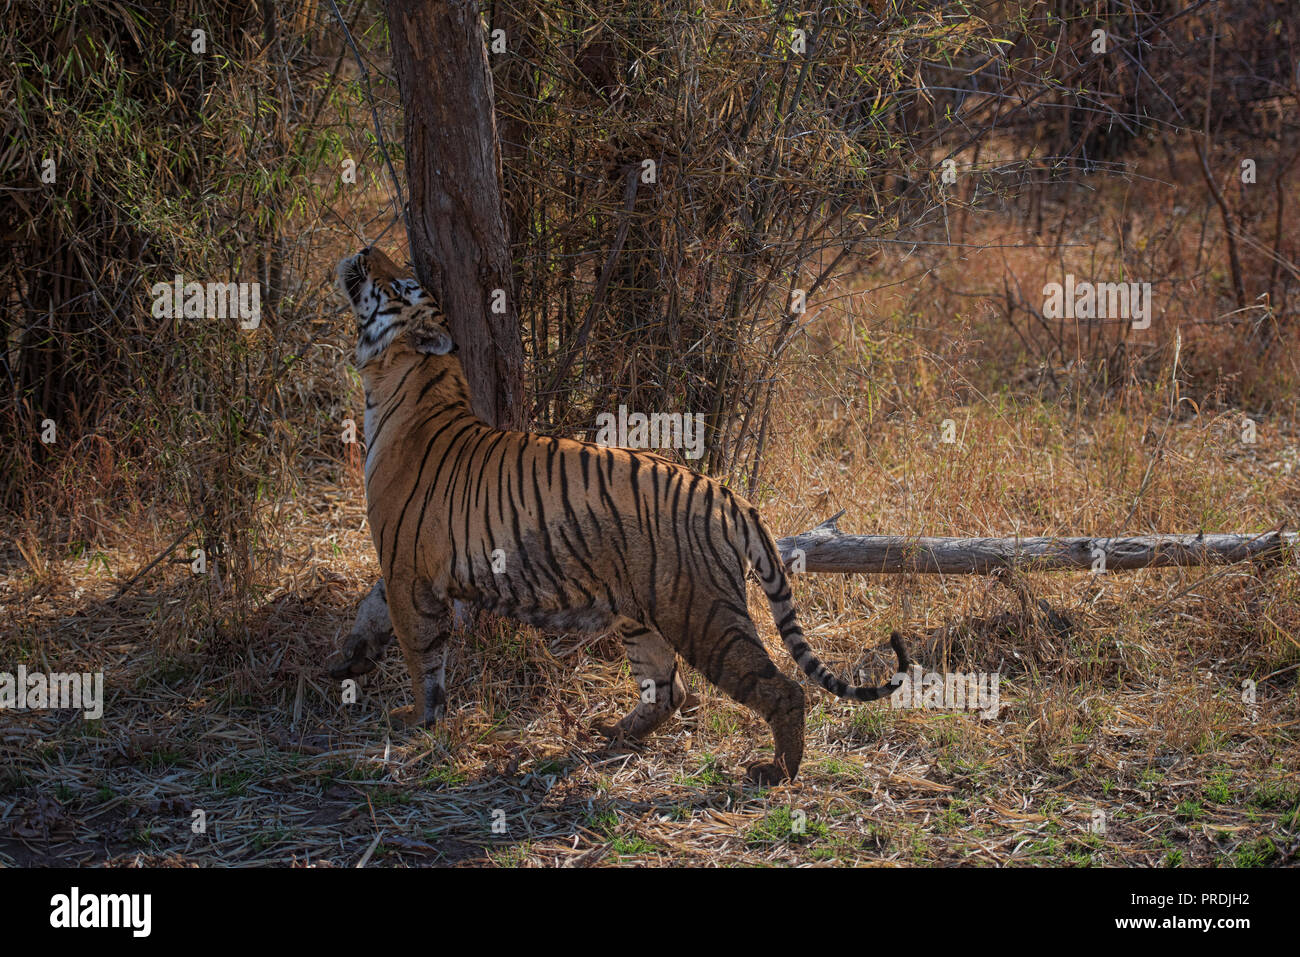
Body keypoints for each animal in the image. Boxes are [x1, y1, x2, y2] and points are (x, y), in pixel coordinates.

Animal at [330, 247, 909, 785]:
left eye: (399, 284)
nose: (364, 251)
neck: (405, 383)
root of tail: (724, 492)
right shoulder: (401, 565)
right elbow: (371, 606)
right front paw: (351, 659)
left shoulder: (408, 570)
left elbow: (420, 652)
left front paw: (417, 719)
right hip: (642, 614)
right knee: (669, 689)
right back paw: (613, 732)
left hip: (704, 615)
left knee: (779, 688)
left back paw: (777, 772)